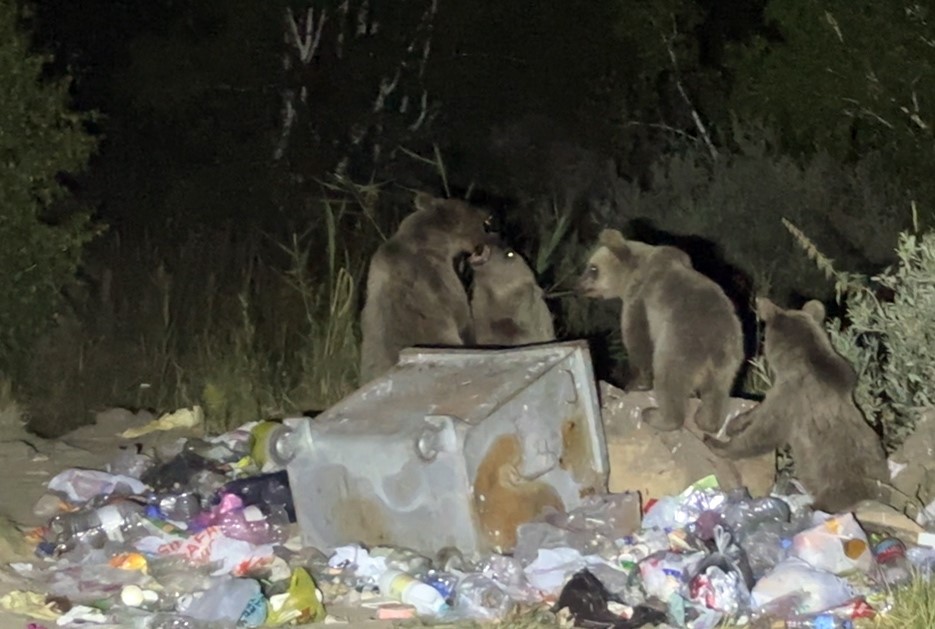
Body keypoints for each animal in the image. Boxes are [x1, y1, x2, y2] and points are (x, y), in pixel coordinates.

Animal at [576, 227, 744, 432]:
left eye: (593, 268)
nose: (577, 285)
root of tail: (716, 344)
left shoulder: (640, 297)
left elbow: (637, 338)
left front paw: (636, 384)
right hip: (728, 360)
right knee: (717, 391)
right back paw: (706, 421)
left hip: (680, 344)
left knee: (668, 379)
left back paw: (656, 416)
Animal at [704, 296, 892, 512]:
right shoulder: (781, 392)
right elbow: (759, 409)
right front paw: (737, 422)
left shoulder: (791, 399)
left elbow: (764, 432)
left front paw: (718, 444)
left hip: (839, 486)